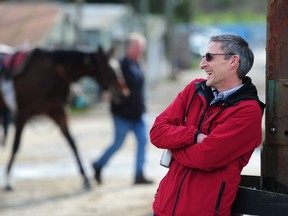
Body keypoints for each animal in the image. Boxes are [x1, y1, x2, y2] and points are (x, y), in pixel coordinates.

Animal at [0, 46, 128, 190]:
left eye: (118, 67)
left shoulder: (58, 113)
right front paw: (7, 179)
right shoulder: (22, 114)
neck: (51, 72)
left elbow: (72, 142)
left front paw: (85, 178)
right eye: (108, 68)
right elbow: (16, 145)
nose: (123, 93)